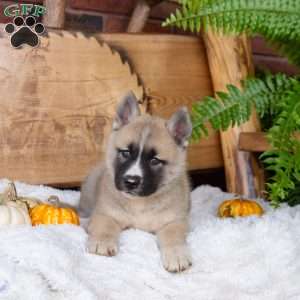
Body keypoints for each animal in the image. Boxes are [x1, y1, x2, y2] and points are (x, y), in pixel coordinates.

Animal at [79, 91, 192, 272]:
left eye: (154, 160)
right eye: (125, 152)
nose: (131, 181)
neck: (140, 203)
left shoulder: (175, 221)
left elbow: (173, 235)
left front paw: (176, 255)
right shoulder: (104, 213)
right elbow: (105, 226)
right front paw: (101, 242)